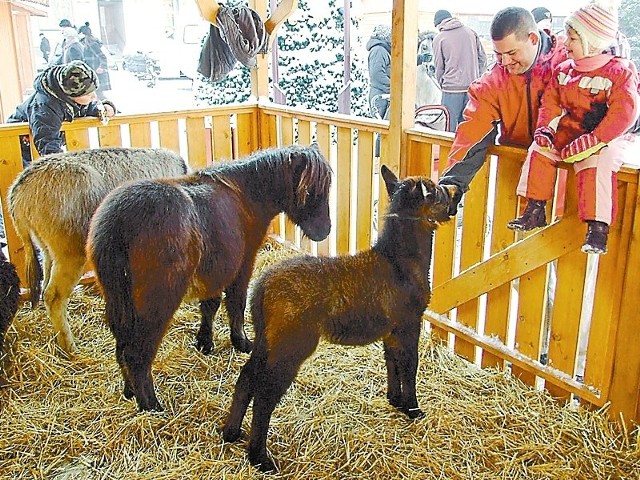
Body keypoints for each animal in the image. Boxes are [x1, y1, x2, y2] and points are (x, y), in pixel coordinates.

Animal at [87, 143, 332, 412]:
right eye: (309, 189)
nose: (325, 231)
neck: (245, 194)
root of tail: (118, 221)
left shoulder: (215, 269)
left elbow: (210, 305)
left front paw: (205, 343)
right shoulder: (242, 265)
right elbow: (236, 303)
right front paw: (241, 342)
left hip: (120, 303)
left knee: (121, 347)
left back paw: (130, 392)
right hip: (157, 304)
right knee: (136, 355)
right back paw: (151, 405)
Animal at [222, 166, 452, 472]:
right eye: (437, 193)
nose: (455, 197)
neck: (399, 262)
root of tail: (262, 287)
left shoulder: (391, 329)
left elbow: (392, 362)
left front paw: (395, 400)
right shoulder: (408, 323)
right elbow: (410, 365)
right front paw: (413, 409)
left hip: (265, 338)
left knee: (247, 378)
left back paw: (231, 433)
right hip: (291, 343)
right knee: (265, 395)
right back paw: (260, 458)